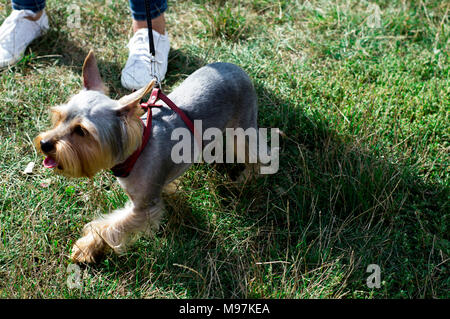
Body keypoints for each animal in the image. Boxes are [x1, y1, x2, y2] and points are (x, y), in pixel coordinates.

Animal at [35, 51, 262, 264]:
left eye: (81, 131)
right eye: (60, 117)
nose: (44, 144)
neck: (136, 149)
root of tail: (237, 68)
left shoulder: (145, 207)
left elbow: (111, 226)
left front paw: (86, 247)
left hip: (242, 128)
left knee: (257, 152)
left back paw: (246, 179)